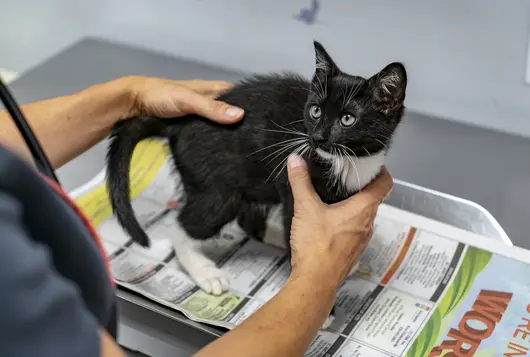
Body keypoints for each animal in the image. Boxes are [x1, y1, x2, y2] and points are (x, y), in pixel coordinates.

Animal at [106, 40, 404, 324]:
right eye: (316, 111)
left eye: (347, 119)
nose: (317, 137)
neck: (349, 160)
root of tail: (180, 124)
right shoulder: (295, 189)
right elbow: (306, 240)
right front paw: (326, 309)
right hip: (218, 189)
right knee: (184, 226)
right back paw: (205, 271)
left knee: (248, 218)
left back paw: (274, 238)